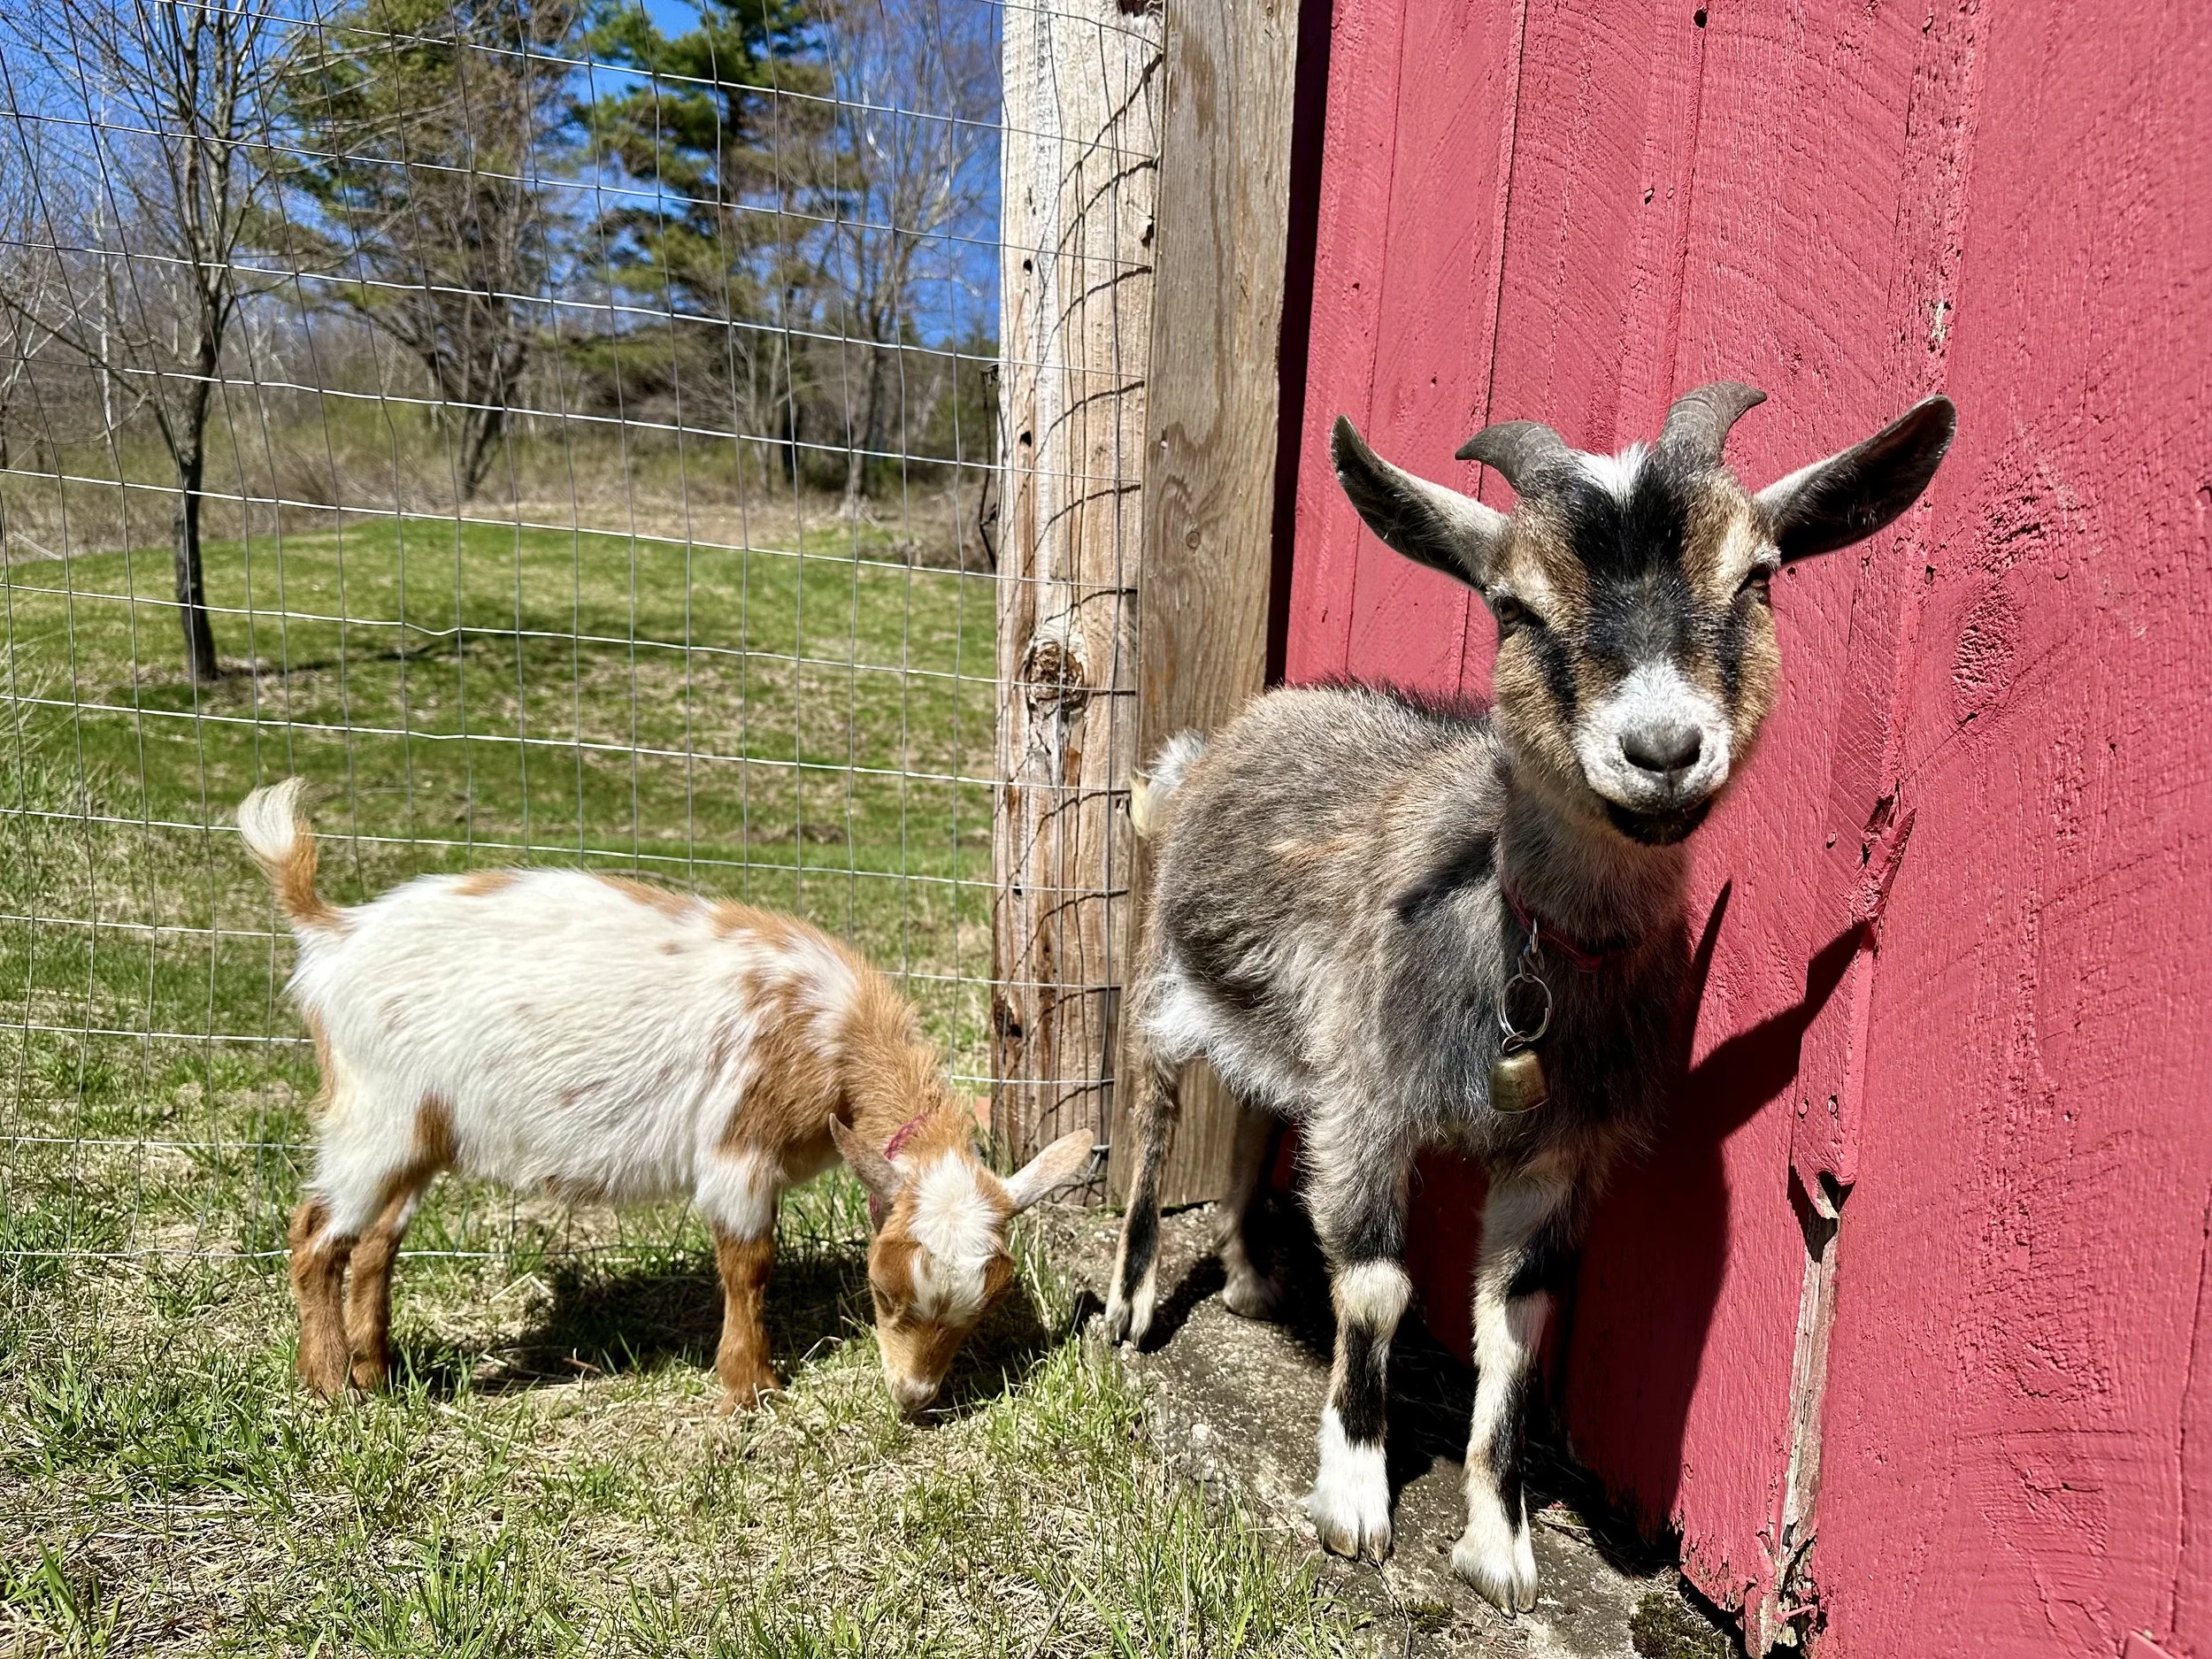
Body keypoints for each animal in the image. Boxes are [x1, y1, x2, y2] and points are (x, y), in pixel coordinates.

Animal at [238, 779, 1095, 1414]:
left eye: (980, 1307)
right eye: (881, 1291)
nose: (914, 1397)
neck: (832, 1032)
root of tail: (333, 932)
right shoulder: (739, 1148)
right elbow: (749, 1264)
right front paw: (751, 1388)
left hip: (417, 1129)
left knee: (377, 1241)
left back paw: (376, 1371)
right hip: (373, 1116)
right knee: (315, 1235)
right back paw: (330, 1389)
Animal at [1102, 384, 1955, 1609]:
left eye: (1757, 576)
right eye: (1513, 604)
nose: (1662, 750)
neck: (1527, 950)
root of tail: (1211, 748)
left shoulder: (1556, 1157)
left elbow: (1513, 1329)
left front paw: (1497, 1549)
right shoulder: (1373, 1105)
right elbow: (1377, 1289)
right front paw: (1353, 1502)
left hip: (1297, 1033)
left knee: (1262, 1112)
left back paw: (1255, 1280)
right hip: (1166, 978)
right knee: (1152, 1108)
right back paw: (1129, 1304)